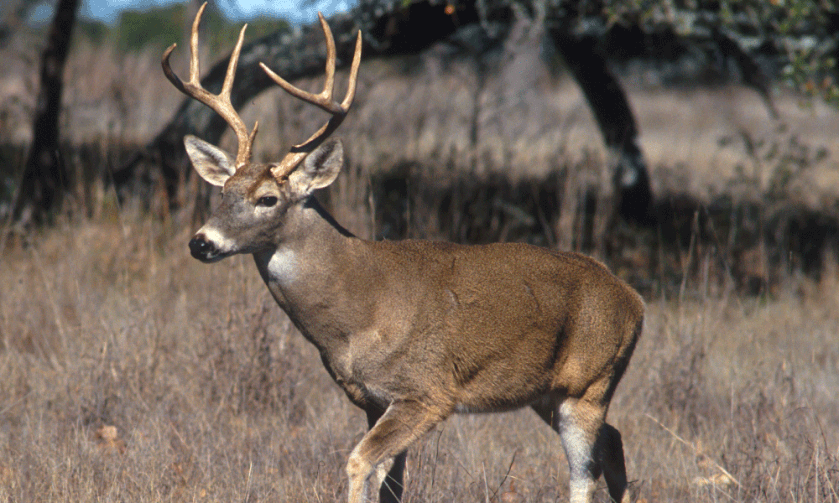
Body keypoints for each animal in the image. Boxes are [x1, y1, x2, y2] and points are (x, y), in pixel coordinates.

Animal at [162, 4, 644, 503]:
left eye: (267, 199)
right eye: (223, 192)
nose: (201, 242)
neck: (356, 312)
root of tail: (634, 300)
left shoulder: (426, 392)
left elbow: (359, 463)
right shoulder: (371, 400)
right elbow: (389, 482)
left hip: (589, 382)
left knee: (585, 470)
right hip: (545, 393)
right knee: (614, 441)